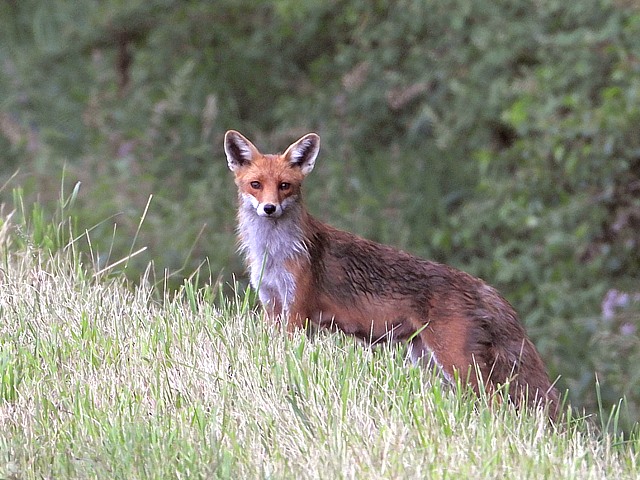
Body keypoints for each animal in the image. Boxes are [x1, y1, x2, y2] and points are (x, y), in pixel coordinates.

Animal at [224, 129, 560, 418]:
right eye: (256, 184)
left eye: (285, 186)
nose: (269, 208)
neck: (274, 253)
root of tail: (481, 285)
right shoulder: (272, 303)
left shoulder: (297, 310)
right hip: (427, 359)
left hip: (455, 362)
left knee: (497, 401)